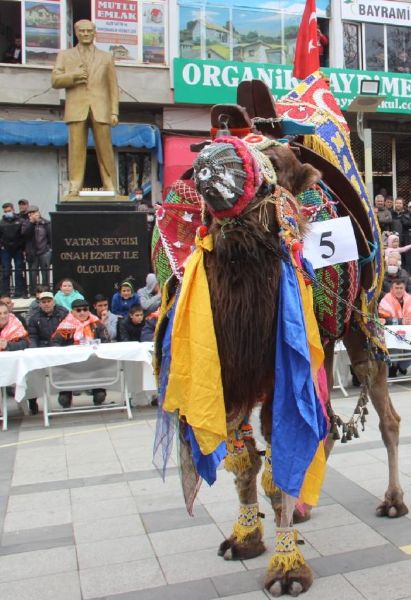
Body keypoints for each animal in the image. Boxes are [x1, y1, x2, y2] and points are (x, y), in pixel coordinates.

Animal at [152, 77, 408, 596]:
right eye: (208, 146)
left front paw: (288, 571)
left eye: (281, 161)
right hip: (324, 340)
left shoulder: (277, 368)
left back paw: (392, 500)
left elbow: (275, 461)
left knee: (385, 412)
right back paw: (306, 508)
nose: (217, 161)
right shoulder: (227, 370)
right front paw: (245, 537)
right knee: (324, 420)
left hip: (363, 322)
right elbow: (246, 460)